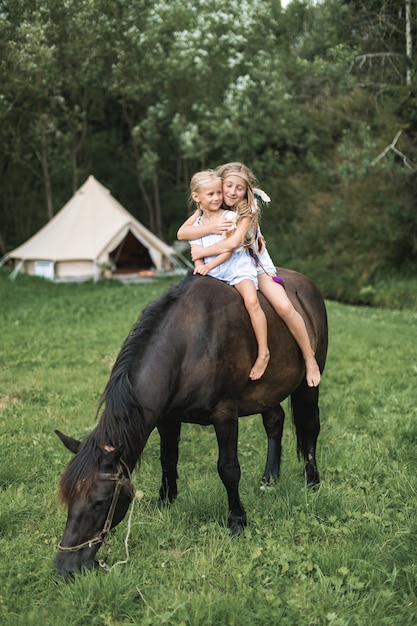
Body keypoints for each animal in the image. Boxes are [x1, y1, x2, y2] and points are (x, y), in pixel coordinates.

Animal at [53, 268, 326, 576]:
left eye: (99, 502)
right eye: (68, 498)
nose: (63, 567)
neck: (188, 346)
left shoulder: (225, 413)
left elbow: (228, 469)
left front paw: (237, 520)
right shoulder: (167, 417)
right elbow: (168, 459)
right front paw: (165, 500)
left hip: (310, 381)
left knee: (311, 427)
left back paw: (312, 481)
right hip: (267, 391)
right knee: (275, 421)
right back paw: (269, 478)